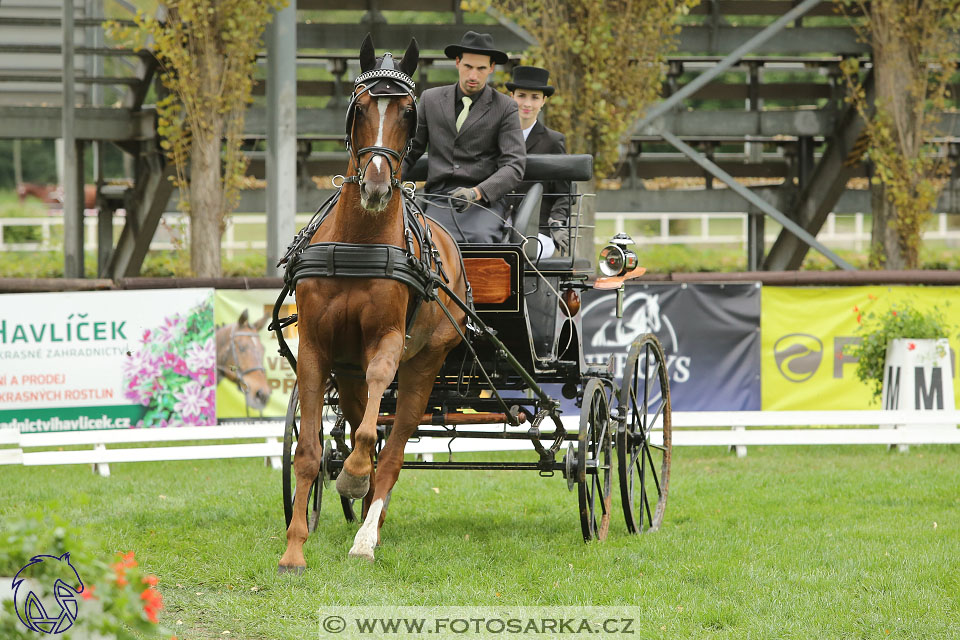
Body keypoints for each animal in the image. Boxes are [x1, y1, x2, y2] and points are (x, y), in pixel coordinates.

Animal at [278, 37, 468, 568]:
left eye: (408, 113)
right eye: (359, 108)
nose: (378, 185)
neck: (358, 243)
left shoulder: (387, 341)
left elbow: (369, 432)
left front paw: (355, 476)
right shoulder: (317, 347)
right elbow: (309, 452)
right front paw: (294, 549)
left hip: (425, 363)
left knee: (394, 449)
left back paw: (367, 531)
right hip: (347, 369)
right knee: (359, 422)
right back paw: (365, 515)